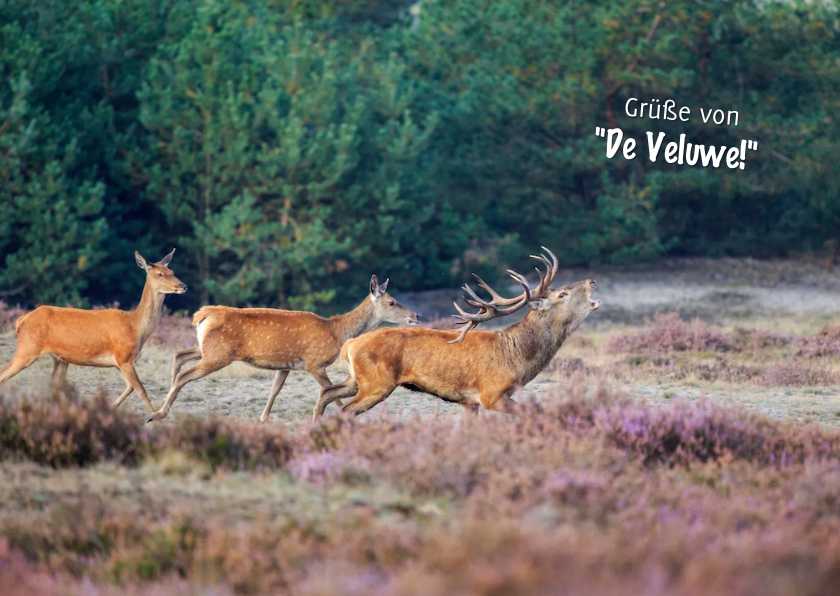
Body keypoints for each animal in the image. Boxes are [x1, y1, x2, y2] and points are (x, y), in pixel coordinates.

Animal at [0, 249, 187, 412]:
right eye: (160, 274)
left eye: (172, 270)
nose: (183, 286)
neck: (135, 327)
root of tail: (21, 320)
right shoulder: (123, 356)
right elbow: (141, 389)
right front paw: (155, 418)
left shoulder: (120, 361)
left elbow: (130, 388)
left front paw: (110, 408)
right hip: (27, 349)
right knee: (4, 375)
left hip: (59, 359)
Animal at [148, 276, 420, 424]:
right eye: (392, 302)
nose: (416, 315)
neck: (336, 331)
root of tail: (202, 315)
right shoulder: (315, 363)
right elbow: (333, 395)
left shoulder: (285, 366)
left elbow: (275, 390)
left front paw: (263, 419)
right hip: (218, 355)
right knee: (184, 374)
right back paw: (157, 414)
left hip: (206, 349)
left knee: (179, 355)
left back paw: (157, 407)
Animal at [312, 249, 600, 416]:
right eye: (562, 294)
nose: (592, 280)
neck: (517, 359)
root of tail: (349, 345)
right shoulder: (491, 395)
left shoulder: (470, 402)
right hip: (376, 383)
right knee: (345, 411)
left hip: (357, 379)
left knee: (327, 394)